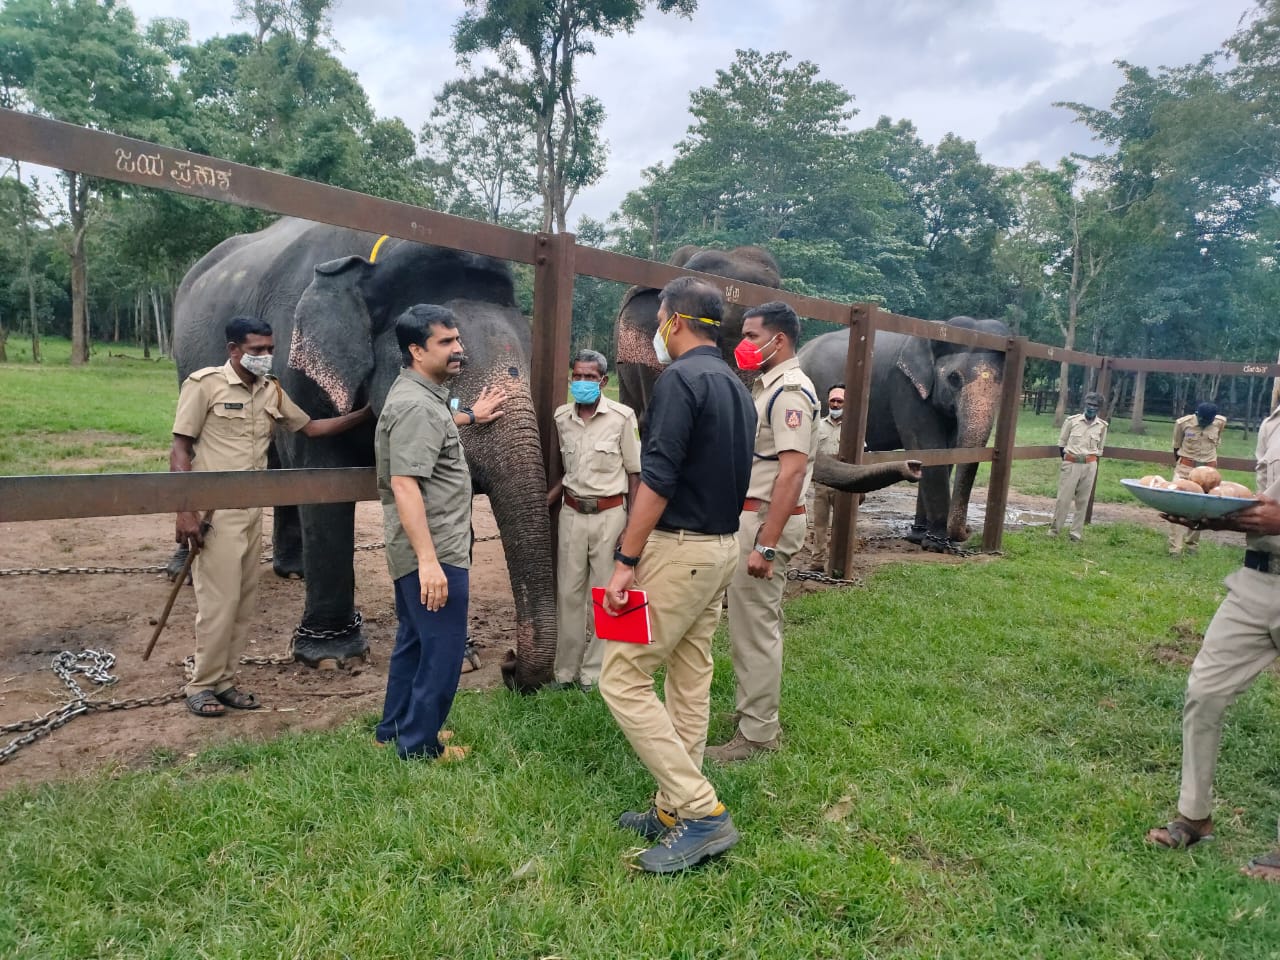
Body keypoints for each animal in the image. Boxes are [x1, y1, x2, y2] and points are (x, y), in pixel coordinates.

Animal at [170, 217, 555, 691]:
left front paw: (460, 654)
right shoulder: (300, 368)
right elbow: (322, 478)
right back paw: (182, 567)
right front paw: (331, 658)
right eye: (454, 368)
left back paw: (293, 570)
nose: (509, 664)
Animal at [798, 320, 1008, 552]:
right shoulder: (904, 387)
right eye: (954, 378)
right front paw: (936, 545)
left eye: (1003, 381)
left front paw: (920, 538)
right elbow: (927, 446)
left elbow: (946, 451)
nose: (968, 531)